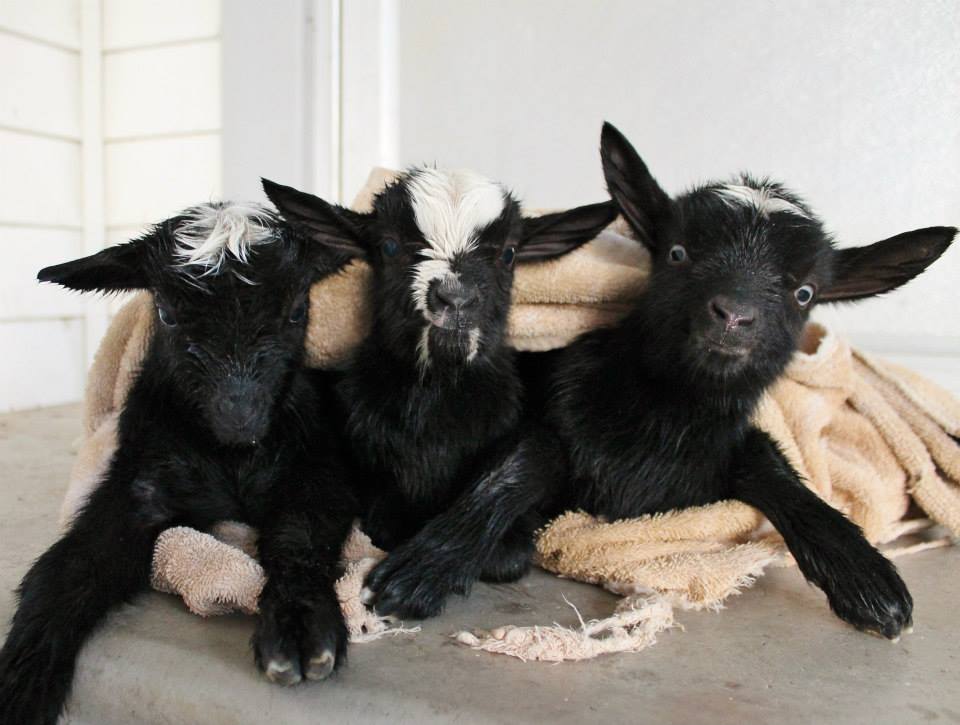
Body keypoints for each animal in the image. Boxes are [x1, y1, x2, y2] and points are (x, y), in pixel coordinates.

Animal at [0, 204, 359, 725]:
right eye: (166, 313)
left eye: (296, 309)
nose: (239, 416)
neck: (231, 456)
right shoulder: (140, 485)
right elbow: (67, 567)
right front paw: (21, 683)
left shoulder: (313, 469)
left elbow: (300, 537)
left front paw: (301, 626)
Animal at [263, 170, 615, 619]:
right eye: (388, 246)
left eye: (509, 254)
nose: (456, 299)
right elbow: (382, 519)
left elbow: (528, 472)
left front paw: (414, 577)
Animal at [541, 123, 955, 638]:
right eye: (677, 253)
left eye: (804, 293)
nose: (733, 316)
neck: (670, 412)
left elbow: (770, 464)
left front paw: (869, 582)